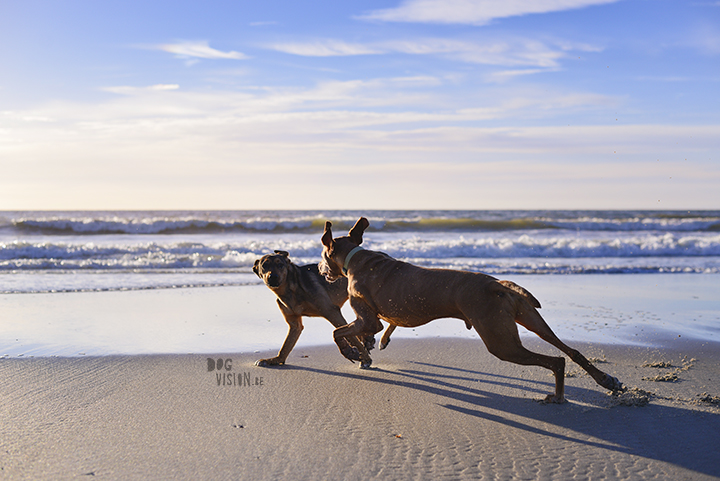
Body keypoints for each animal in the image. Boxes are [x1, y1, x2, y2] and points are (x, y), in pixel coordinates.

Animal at [318, 219, 620, 404]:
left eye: (322, 255)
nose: (320, 270)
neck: (355, 257)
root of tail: (497, 284)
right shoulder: (382, 317)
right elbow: (375, 330)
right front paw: (368, 347)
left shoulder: (368, 317)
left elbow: (339, 332)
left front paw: (352, 351)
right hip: (530, 319)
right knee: (570, 351)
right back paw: (606, 380)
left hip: (500, 341)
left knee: (556, 360)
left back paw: (558, 396)